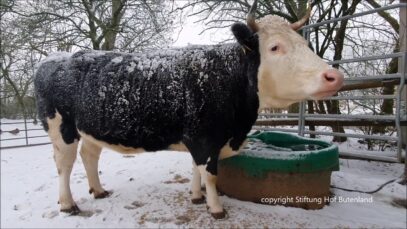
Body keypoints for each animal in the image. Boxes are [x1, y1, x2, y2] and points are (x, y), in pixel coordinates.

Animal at [34, 0, 344, 218]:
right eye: (275, 47)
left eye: (304, 44)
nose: (334, 76)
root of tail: (52, 58)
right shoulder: (205, 137)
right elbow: (210, 173)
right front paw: (216, 209)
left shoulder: (201, 137)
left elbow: (196, 167)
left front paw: (196, 197)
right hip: (61, 128)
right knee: (63, 165)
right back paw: (68, 204)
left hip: (91, 129)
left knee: (89, 156)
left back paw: (98, 191)